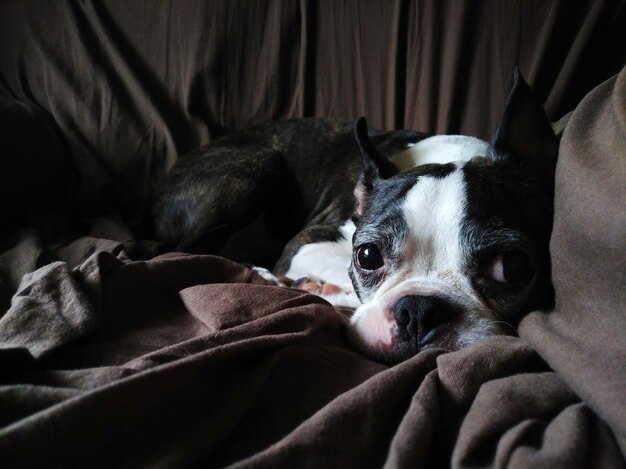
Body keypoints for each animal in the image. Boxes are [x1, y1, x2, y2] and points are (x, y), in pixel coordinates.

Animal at [154, 68, 560, 362]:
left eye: (513, 266)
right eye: (367, 256)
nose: (419, 311)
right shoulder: (306, 242)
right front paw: (332, 291)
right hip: (260, 168)